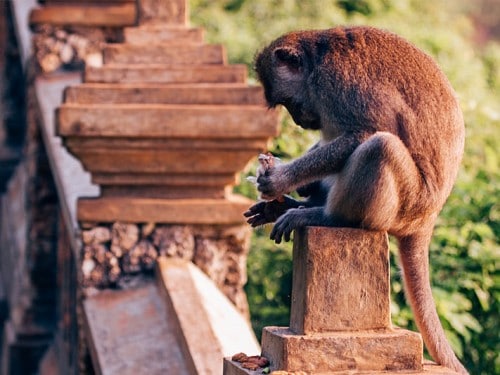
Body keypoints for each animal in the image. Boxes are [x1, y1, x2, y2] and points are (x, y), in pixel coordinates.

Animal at [244, 26, 466, 375]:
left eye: (288, 101)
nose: (298, 120)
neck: (317, 56)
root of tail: (428, 218)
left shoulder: (335, 83)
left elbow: (367, 132)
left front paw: (277, 180)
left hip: (406, 205)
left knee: (380, 146)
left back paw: (327, 217)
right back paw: (296, 205)